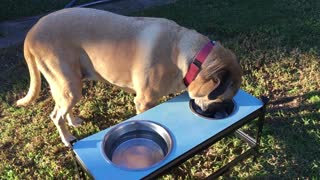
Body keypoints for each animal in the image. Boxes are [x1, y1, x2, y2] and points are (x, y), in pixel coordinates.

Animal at [16, 7, 241, 147]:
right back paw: (67, 138)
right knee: (56, 116)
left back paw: (73, 120)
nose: (222, 113)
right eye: (224, 98)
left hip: (69, 84)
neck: (188, 56)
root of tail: (31, 32)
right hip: (68, 85)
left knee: (62, 109)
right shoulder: (144, 102)